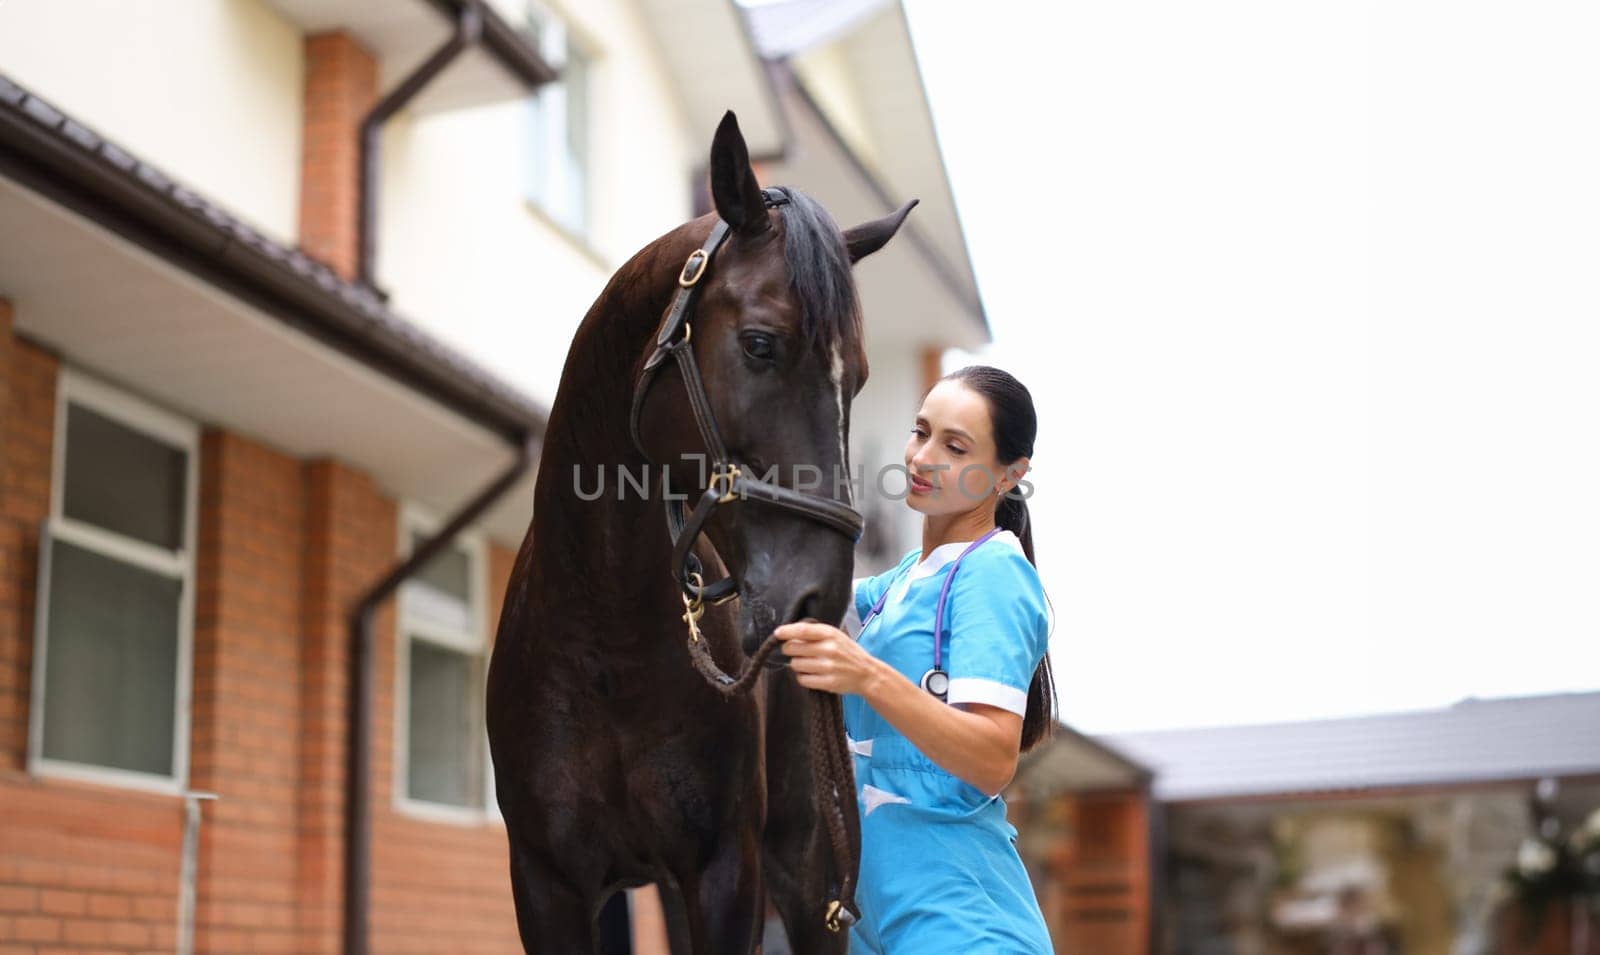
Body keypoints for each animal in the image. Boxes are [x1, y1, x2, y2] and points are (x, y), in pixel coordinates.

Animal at [483, 113, 915, 953]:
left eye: (859, 378)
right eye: (760, 343)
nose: (817, 598)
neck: (603, 646)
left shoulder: (724, 874)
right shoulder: (548, 884)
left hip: (809, 877)